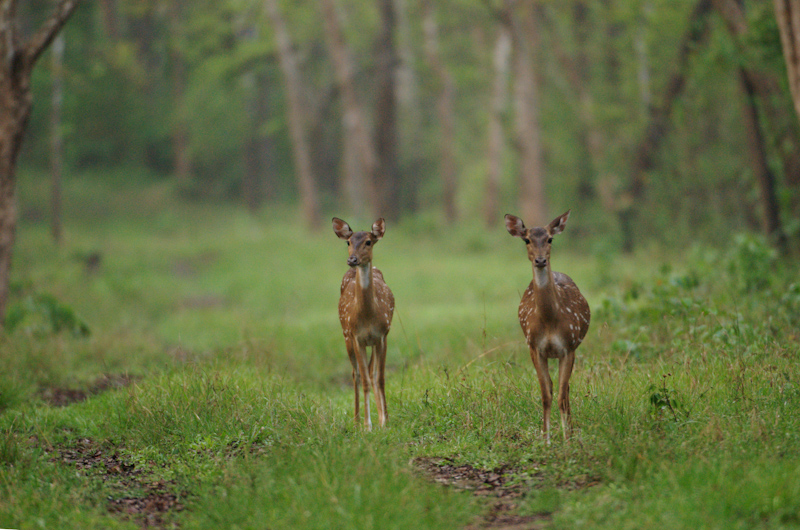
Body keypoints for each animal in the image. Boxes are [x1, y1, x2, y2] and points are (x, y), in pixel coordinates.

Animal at [332, 217, 394, 426]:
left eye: (368, 241)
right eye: (348, 242)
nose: (352, 260)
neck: (367, 317)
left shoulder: (381, 335)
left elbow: (379, 378)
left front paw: (384, 421)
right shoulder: (356, 336)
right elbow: (365, 380)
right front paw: (368, 426)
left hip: (372, 343)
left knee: (370, 372)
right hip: (346, 336)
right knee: (356, 374)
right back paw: (357, 420)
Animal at [506, 208, 588, 440]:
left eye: (550, 238)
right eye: (526, 240)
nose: (541, 260)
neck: (550, 321)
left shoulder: (568, 346)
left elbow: (560, 396)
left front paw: (567, 439)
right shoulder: (534, 347)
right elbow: (546, 394)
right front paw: (545, 439)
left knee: (565, 390)